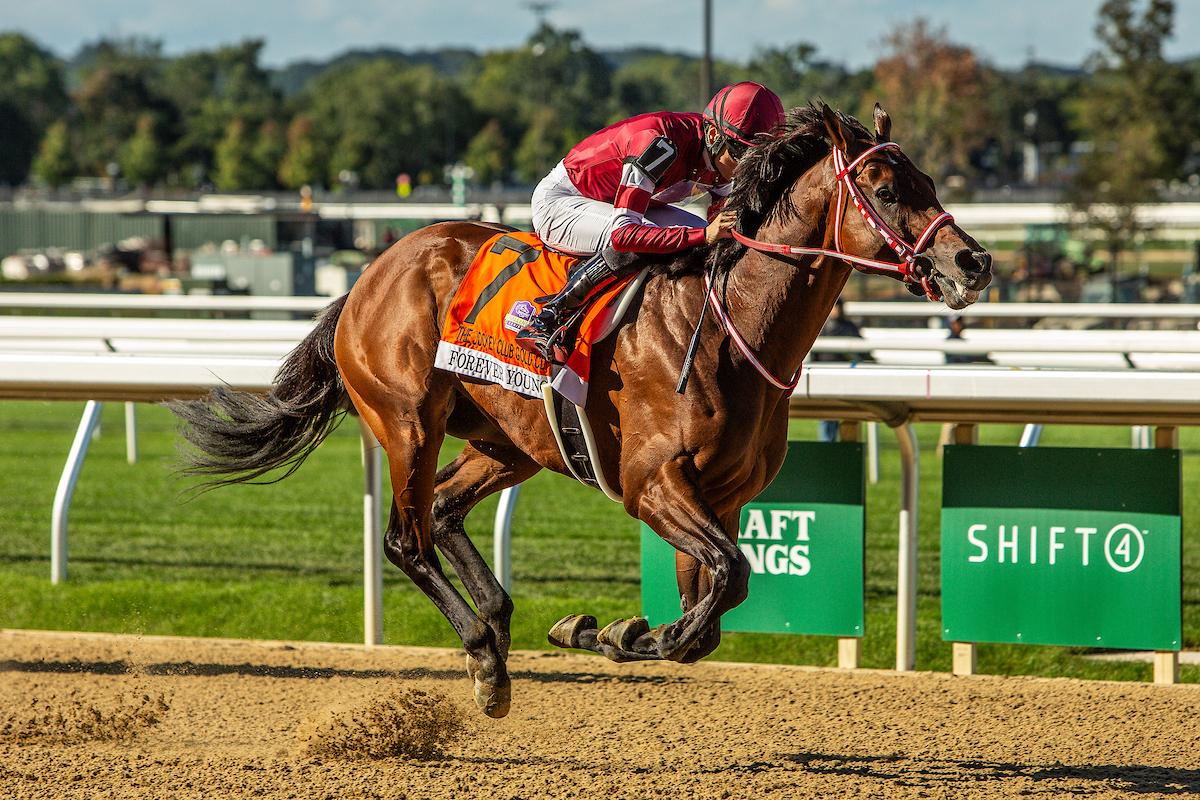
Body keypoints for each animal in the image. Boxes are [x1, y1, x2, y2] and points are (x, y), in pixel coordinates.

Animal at [170, 103, 992, 719]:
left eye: (925, 177)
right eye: (885, 188)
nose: (974, 262)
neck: (727, 326)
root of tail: (372, 272)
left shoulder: (724, 498)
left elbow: (714, 603)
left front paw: (616, 630)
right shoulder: (651, 483)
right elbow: (726, 581)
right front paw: (617, 631)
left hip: (507, 443)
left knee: (443, 512)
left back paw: (497, 625)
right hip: (407, 421)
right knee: (405, 538)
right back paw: (483, 658)